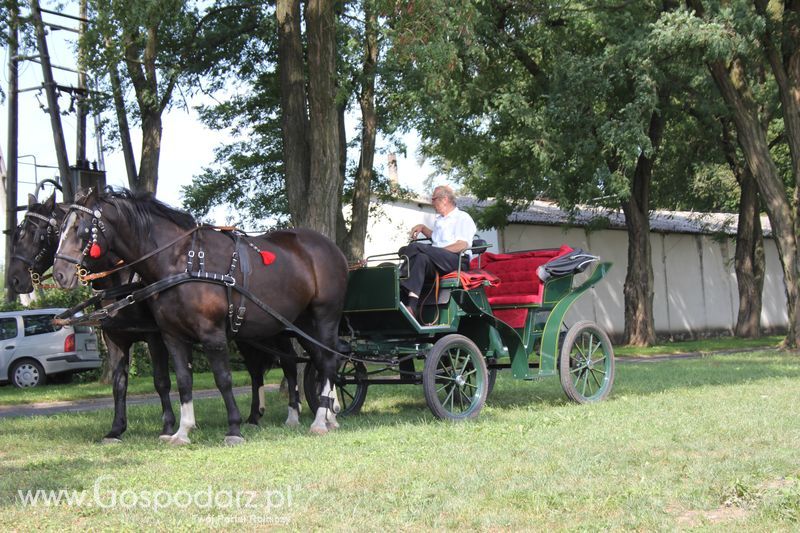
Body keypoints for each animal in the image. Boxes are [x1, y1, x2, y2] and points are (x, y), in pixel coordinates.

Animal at [52, 189, 346, 442]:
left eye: (79, 229)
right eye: (59, 229)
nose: (59, 274)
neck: (184, 262)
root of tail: (331, 248)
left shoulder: (210, 334)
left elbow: (222, 379)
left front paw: (233, 428)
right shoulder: (170, 335)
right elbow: (181, 381)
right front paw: (181, 431)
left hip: (324, 318)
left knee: (327, 361)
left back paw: (320, 420)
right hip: (298, 324)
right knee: (315, 362)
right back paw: (325, 416)